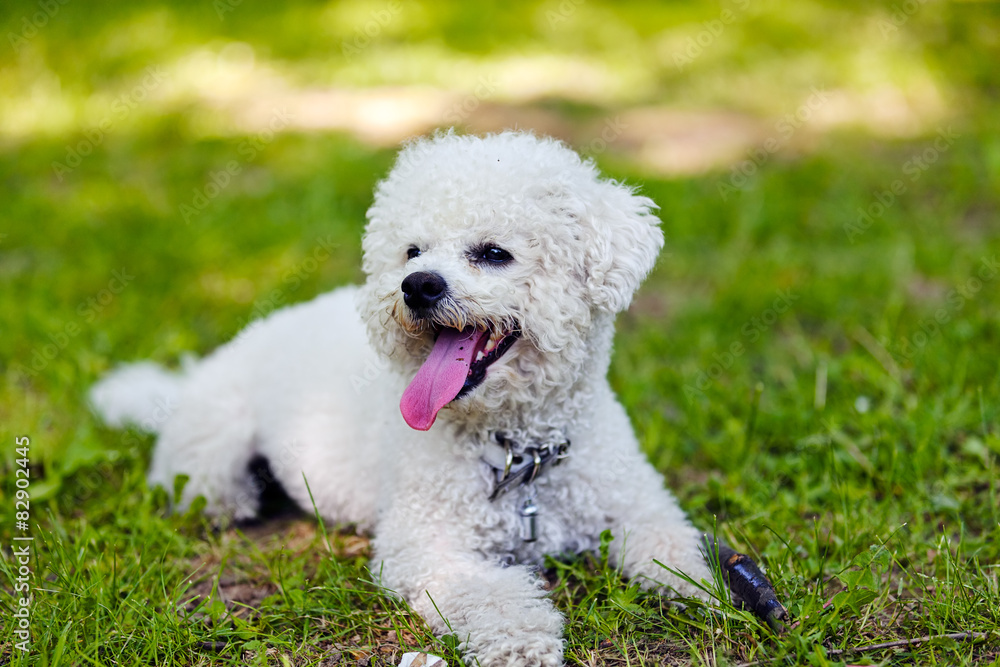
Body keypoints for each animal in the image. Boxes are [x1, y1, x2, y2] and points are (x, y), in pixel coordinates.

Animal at [92, 132, 712, 667]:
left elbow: (675, 548)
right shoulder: (429, 545)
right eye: (413, 251)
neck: (519, 453)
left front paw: (705, 589)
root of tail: (194, 379)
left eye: (494, 252)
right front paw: (523, 641)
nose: (418, 285)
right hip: (209, 464)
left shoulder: (639, 506)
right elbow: (492, 593)